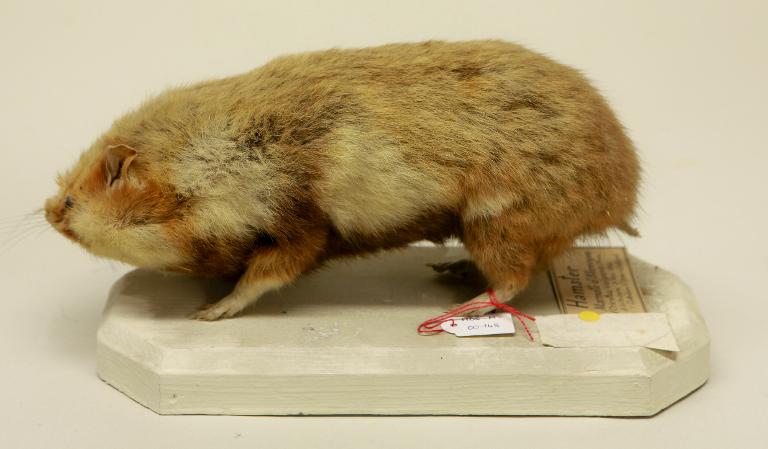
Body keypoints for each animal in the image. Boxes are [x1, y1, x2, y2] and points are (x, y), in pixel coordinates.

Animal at [44, 40, 640, 321]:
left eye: (73, 200)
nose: (49, 212)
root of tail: (621, 195)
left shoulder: (299, 225)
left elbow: (266, 275)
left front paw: (214, 310)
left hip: (495, 223)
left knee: (513, 280)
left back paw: (460, 306)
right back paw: (454, 270)